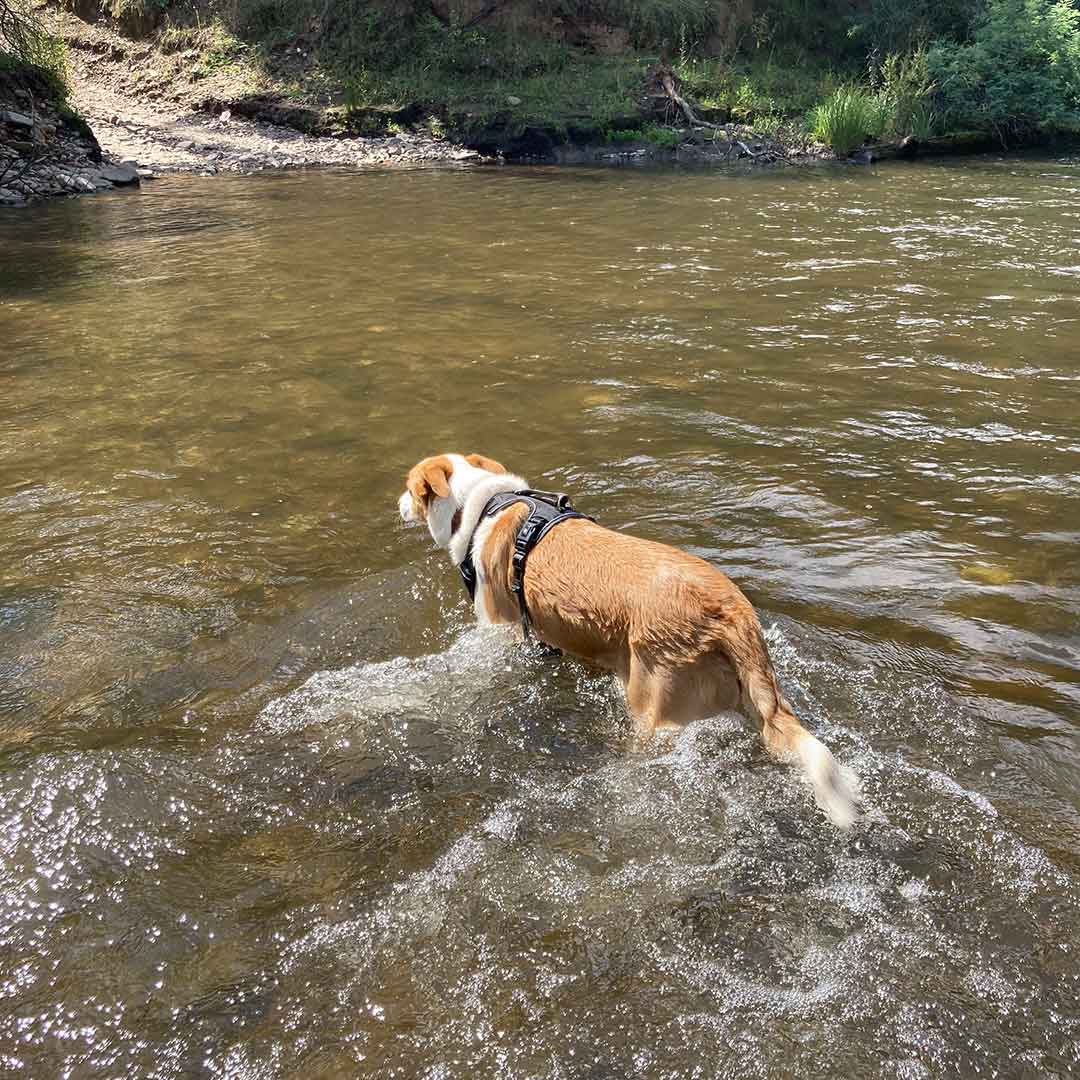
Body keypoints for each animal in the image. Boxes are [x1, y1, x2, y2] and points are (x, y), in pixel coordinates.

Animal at [399, 449, 859, 825]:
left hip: (653, 711)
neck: (483, 505)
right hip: (754, 701)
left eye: (409, 488)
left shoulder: (498, 630)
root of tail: (730, 612)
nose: (397, 503)